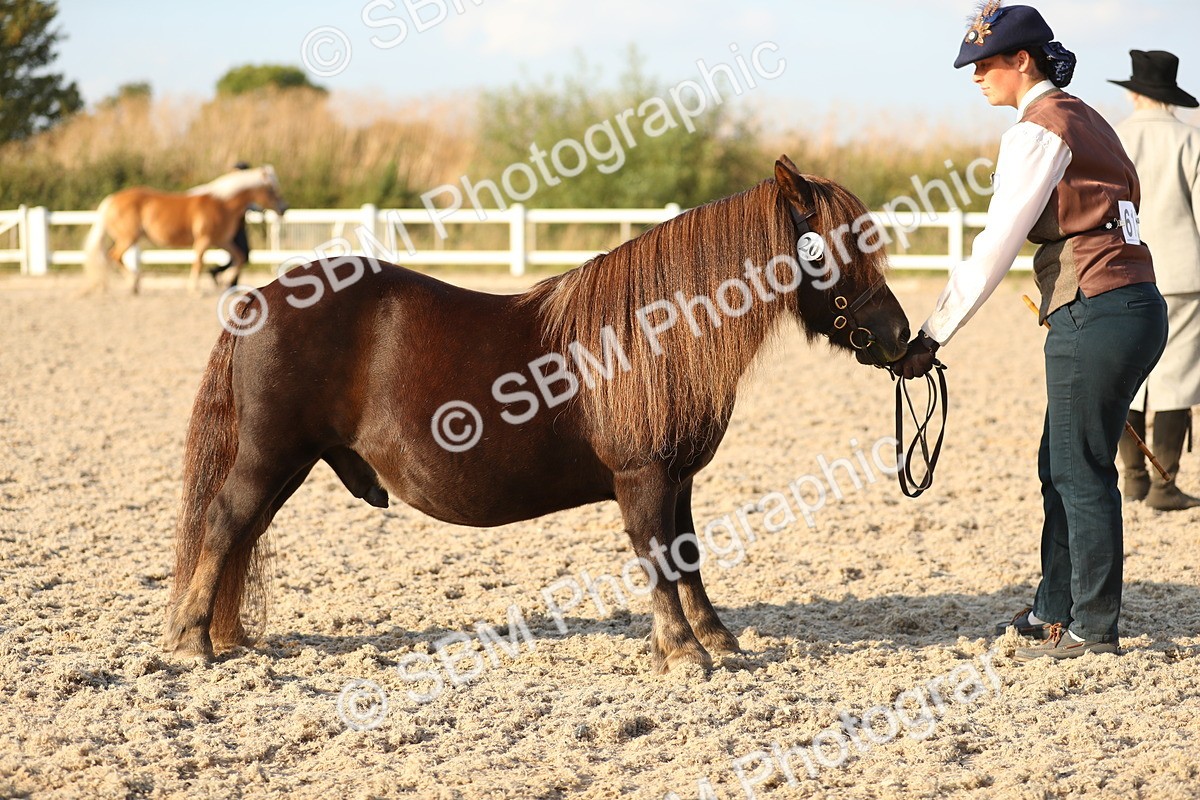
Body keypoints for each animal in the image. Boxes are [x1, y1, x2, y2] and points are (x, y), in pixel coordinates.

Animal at [83, 165, 288, 294]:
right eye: (271, 189)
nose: (284, 208)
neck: (222, 203)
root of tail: (110, 200)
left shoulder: (222, 240)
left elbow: (240, 257)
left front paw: (225, 279)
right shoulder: (204, 240)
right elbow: (198, 263)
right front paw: (195, 290)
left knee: (108, 257)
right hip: (128, 237)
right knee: (114, 256)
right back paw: (132, 282)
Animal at [163, 156, 911, 674]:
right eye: (835, 248)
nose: (905, 338)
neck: (653, 334)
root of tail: (259, 297)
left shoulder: (679, 481)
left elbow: (688, 556)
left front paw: (718, 642)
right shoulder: (642, 478)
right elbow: (657, 558)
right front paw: (680, 652)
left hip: (289, 464)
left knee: (243, 531)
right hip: (268, 456)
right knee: (224, 523)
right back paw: (194, 642)